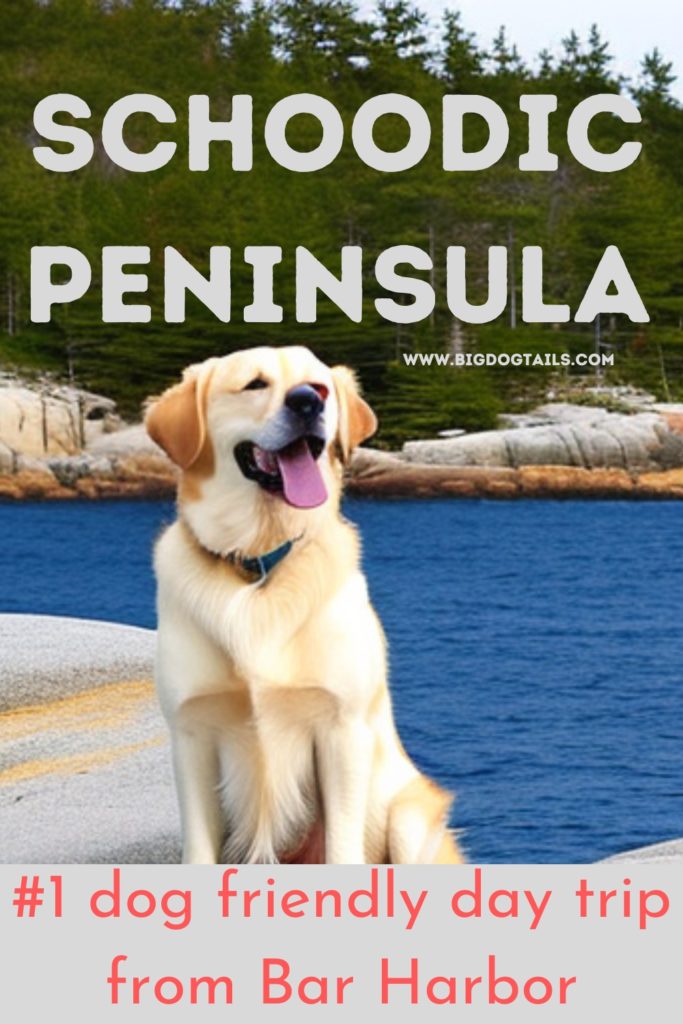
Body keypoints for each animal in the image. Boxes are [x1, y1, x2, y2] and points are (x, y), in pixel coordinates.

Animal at [146, 346, 462, 864]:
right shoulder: (192, 734)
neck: (258, 563)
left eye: (319, 387)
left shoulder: (341, 730)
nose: (307, 404)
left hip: (408, 816)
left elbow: (342, 848)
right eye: (255, 384)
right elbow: (198, 850)